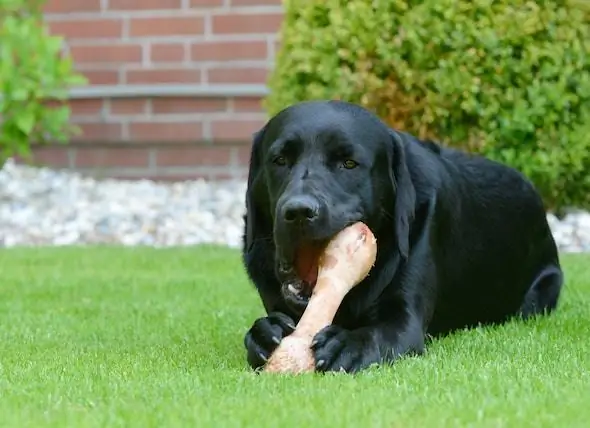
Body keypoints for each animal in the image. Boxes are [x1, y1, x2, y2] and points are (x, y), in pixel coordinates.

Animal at [242, 98, 564, 372]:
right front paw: (264, 333)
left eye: (349, 163)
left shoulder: (404, 321)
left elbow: (377, 333)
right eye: (280, 160)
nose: (298, 211)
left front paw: (346, 344)